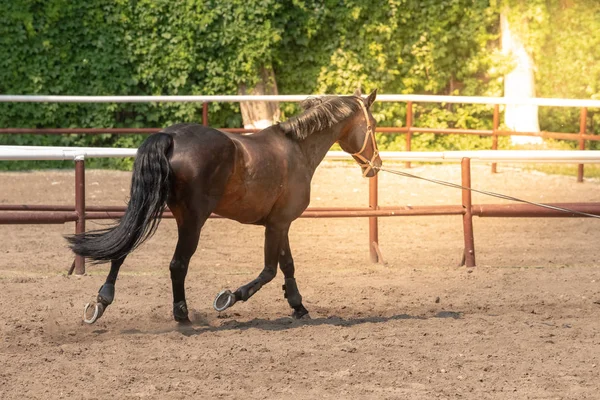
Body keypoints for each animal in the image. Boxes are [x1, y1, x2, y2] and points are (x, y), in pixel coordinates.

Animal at [68, 89, 382, 324]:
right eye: (374, 124)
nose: (376, 165)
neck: (297, 149)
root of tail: (171, 137)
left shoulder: (279, 223)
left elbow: (286, 265)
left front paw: (298, 306)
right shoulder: (279, 224)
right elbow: (270, 270)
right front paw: (229, 297)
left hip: (152, 204)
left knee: (124, 247)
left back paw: (101, 301)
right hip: (192, 220)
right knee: (177, 264)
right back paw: (182, 314)